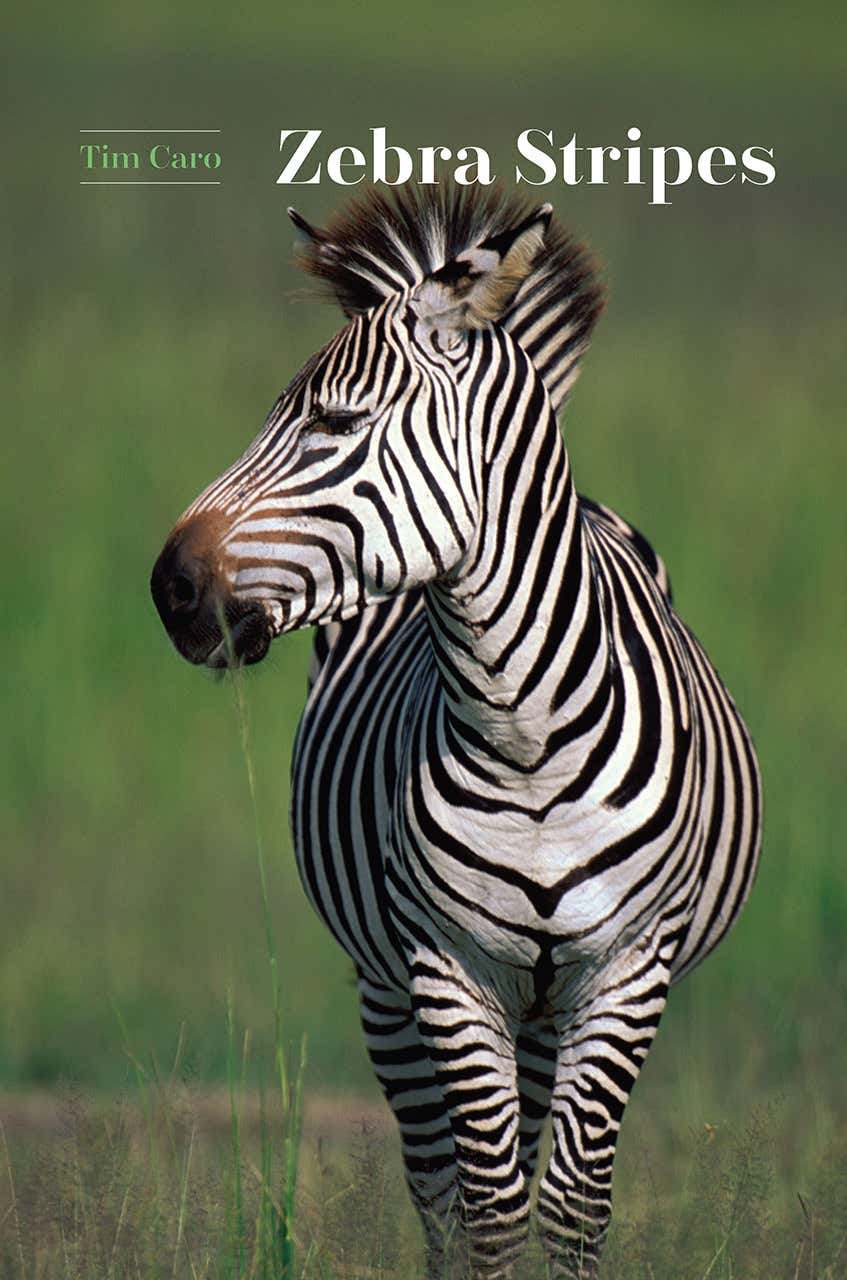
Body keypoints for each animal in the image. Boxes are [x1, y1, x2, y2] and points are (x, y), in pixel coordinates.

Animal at [151, 184, 762, 1279]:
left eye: (333, 422)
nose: (168, 588)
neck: (522, 733)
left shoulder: (625, 967)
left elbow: (568, 1204)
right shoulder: (445, 965)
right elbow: (485, 1206)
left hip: (544, 1001)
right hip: (389, 990)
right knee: (436, 1185)